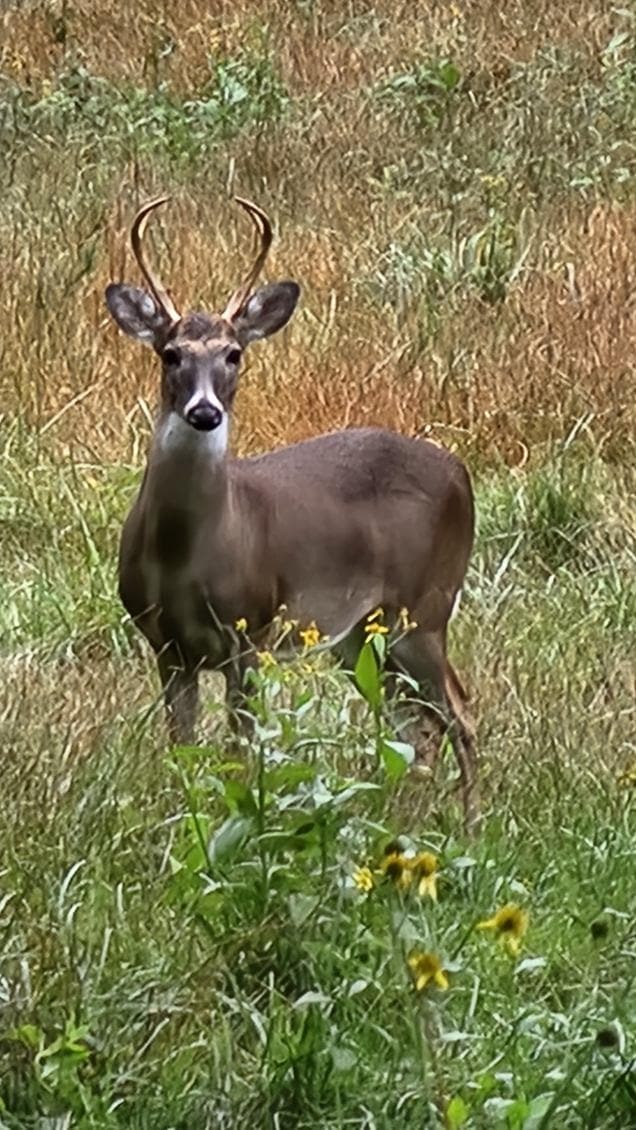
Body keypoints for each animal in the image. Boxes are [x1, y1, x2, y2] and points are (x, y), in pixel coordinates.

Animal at [105, 196, 480, 832]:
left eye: (234, 353)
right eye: (170, 353)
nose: (204, 412)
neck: (185, 559)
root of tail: (461, 472)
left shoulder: (249, 630)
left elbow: (238, 748)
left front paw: (237, 822)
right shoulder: (165, 644)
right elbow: (183, 751)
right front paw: (185, 824)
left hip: (426, 607)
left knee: (459, 712)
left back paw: (475, 822)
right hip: (362, 633)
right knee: (417, 724)